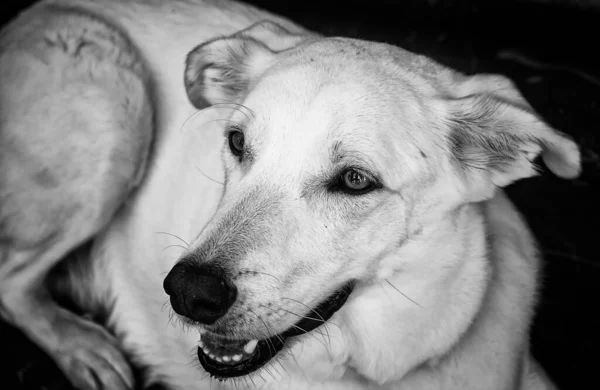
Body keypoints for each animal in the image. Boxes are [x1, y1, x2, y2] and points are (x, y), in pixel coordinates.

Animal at [0, 0, 580, 390]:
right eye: (237, 142)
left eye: (355, 180)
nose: (188, 292)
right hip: (116, 98)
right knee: (11, 281)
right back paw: (81, 346)